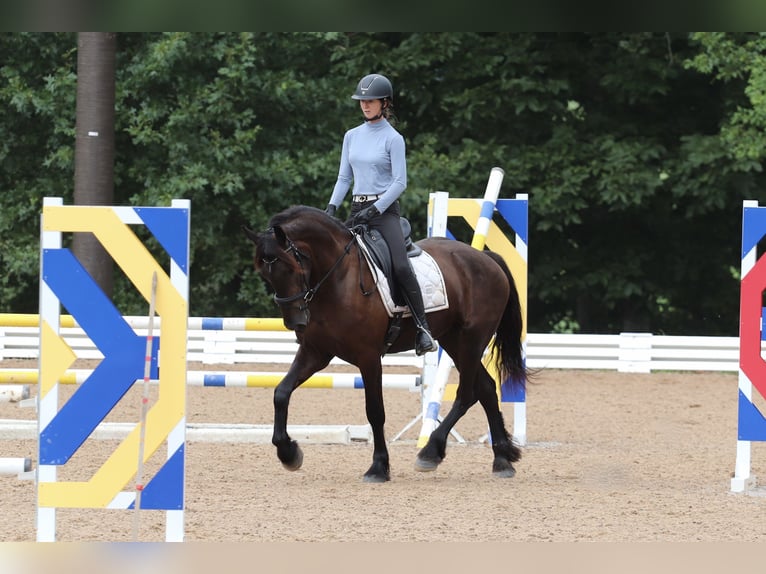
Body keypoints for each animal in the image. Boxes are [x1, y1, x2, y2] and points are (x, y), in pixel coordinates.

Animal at [244, 205, 528, 484]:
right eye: (265, 274)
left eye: (293, 267)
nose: (295, 322)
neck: (338, 279)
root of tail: (486, 258)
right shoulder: (316, 352)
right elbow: (281, 392)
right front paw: (288, 452)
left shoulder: (368, 357)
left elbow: (375, 411)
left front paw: (378, 467)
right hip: (454, 341)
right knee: (486, 389)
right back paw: (502, 459)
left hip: (471, 340)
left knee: (467, 393)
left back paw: (431, 452)